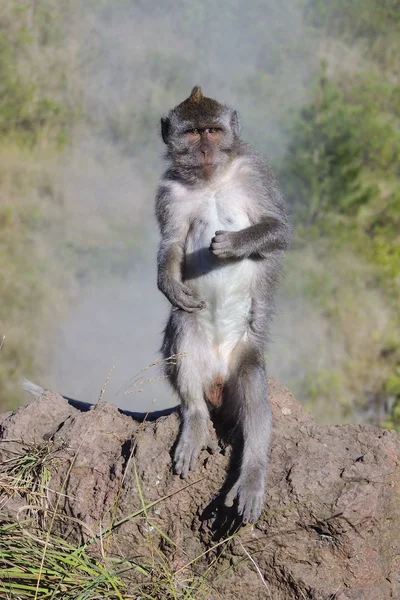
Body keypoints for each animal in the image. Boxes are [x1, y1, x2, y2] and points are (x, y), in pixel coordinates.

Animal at [155, 86, 290, 524]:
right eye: (193, 132)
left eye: (213, 130)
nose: (205, 148)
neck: (212, 181)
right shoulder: (168, 192)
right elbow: (172, 243)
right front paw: (167, 282)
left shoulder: (255, 171)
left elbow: (279, 229)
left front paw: (235, 243)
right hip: (196, 355)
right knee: (183, 326)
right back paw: (197, 420)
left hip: (242, 358)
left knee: (254, 390)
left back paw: (252, 473)